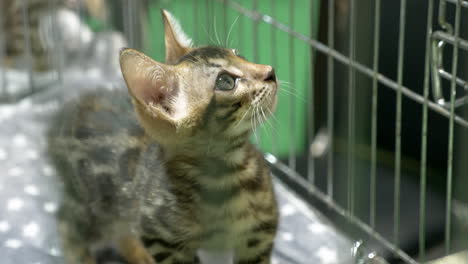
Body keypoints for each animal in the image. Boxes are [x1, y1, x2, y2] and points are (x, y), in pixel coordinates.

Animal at [48, 9, 278, 262]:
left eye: (238, 53)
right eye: (226, 82)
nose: (270, 71)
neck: (225, 175)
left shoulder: (259, 236)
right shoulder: (160, 237)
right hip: (96, 207)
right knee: (66, 222)